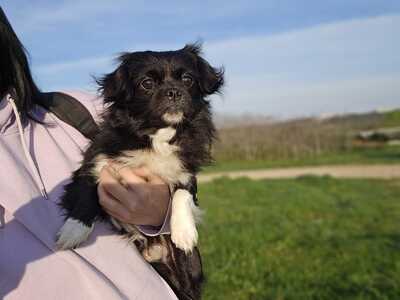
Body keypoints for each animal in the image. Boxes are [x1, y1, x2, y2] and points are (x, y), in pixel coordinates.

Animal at [55, 43, 223, 298]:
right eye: (147, 83)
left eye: (187, 79)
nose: (174, 92)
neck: (157, 137)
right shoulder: (96, 163)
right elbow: (86, 195)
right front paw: (73, 230)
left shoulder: (187, 174)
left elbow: (181, 194)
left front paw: (184, 232)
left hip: (188, 268)